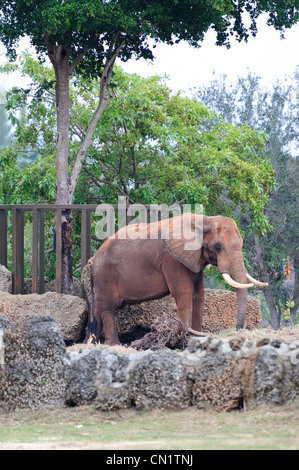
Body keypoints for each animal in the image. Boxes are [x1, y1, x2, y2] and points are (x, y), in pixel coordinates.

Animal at [85, 213, 268, 346]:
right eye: (217, 247)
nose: (238, 328)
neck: (204, 220)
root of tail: (93, 261)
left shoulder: (193, 259)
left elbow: (198, 295)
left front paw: (196, 336)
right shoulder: (171, 259)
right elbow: (184, 293)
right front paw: (187, 335)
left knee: (99, 311)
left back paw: (92, 342)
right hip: (106, 276)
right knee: (108, 309)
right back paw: (114, 345)